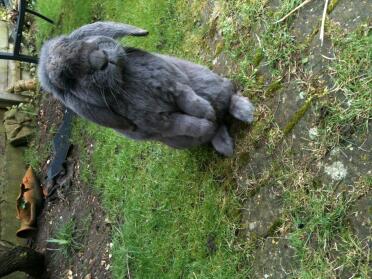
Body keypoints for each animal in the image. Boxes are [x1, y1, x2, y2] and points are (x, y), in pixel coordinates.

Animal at [37, 21, 254, 158]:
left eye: (75, 42)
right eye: (67, 77)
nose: (100, 59)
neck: (124, 81)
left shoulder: (174, 86)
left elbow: (191, 101)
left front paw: (207, 113)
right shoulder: (162, 123)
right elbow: (188, 124)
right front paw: (207, 124)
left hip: (212, 85)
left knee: (229, 97)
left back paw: (246, 113)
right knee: (219, 126)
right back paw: (224, 145)